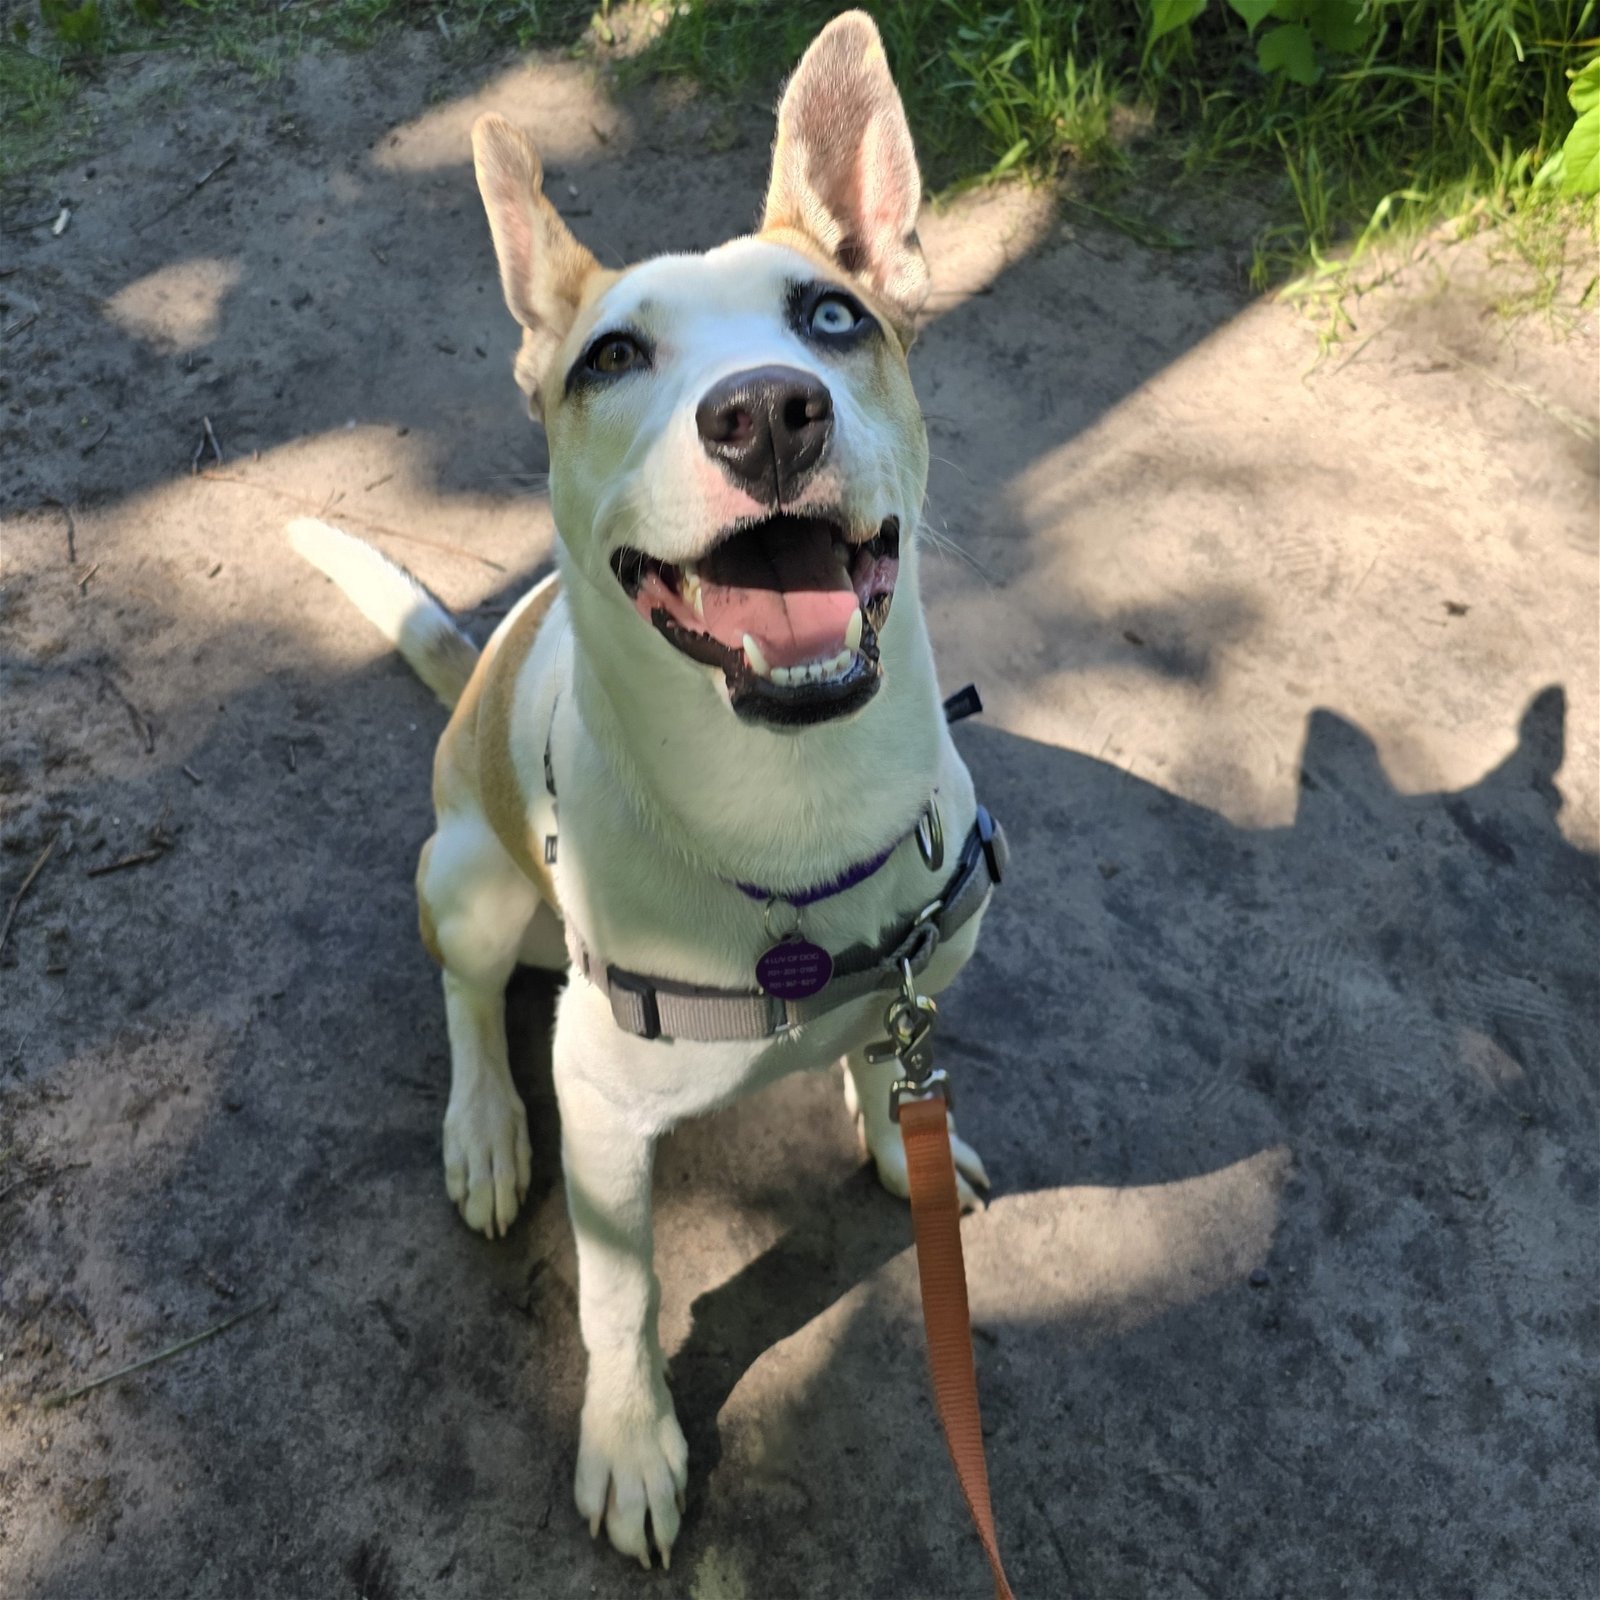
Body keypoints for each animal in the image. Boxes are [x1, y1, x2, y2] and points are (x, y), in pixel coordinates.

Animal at [288, 9, 998, 1561]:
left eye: (832, 319)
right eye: (610, 357)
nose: (769, 415)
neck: (789, 811)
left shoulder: (914, 987)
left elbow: (887, 1072)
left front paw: (901, 1145)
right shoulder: (608, 1122)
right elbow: (621, 1299)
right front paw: (629, 1444)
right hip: (466, 879)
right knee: (468, 1001)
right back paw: (487, 1131)